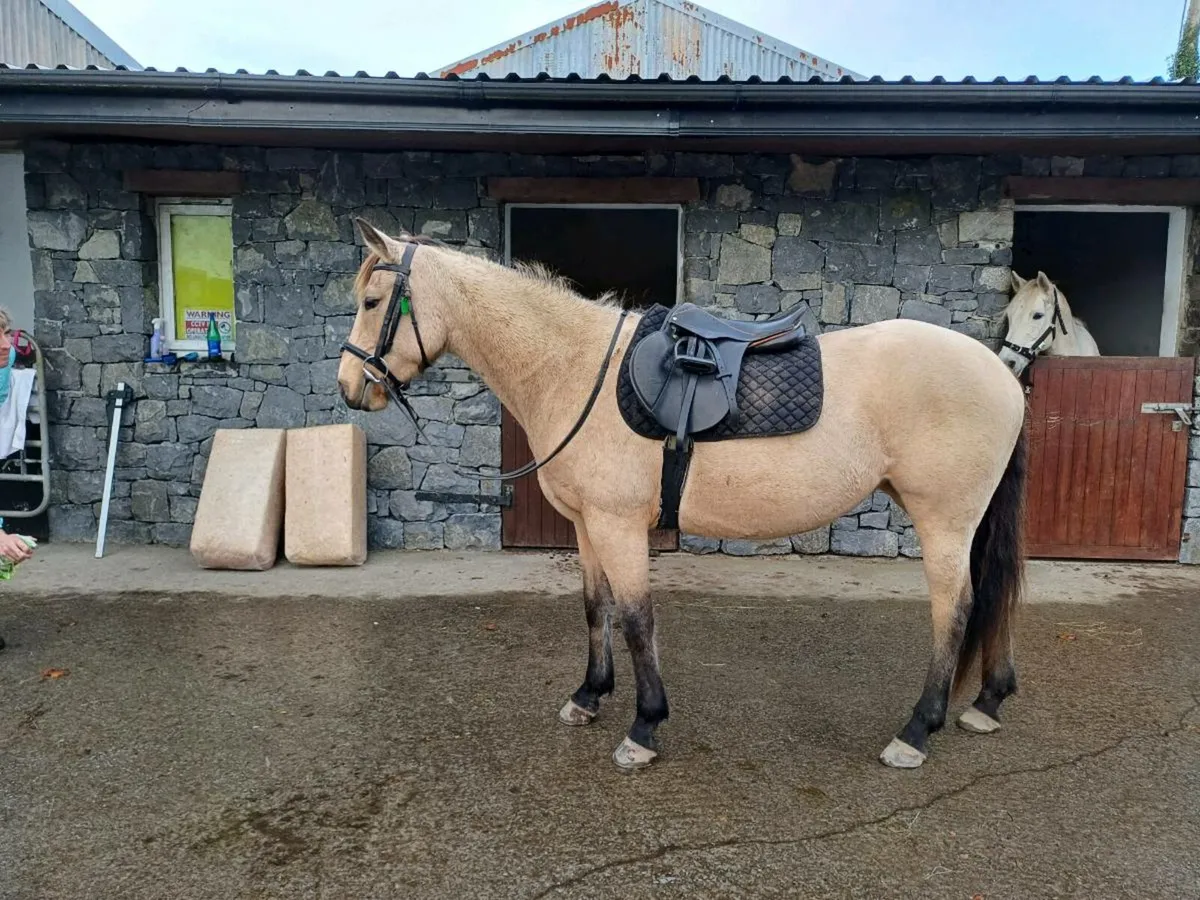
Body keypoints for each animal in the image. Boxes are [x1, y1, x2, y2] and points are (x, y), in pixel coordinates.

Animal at [336, 219, 1029, 773]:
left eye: (372, 300)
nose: (350, 388)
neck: (574, 367)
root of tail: (1000, 374)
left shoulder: (618, 525)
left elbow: (637, 618)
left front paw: (644, 727)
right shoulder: (588, 526)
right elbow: (596, 607)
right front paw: (588, 697)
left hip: (944, 521)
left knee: (956, 609)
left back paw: (916, 731)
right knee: (991, 601)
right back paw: (986, 702)